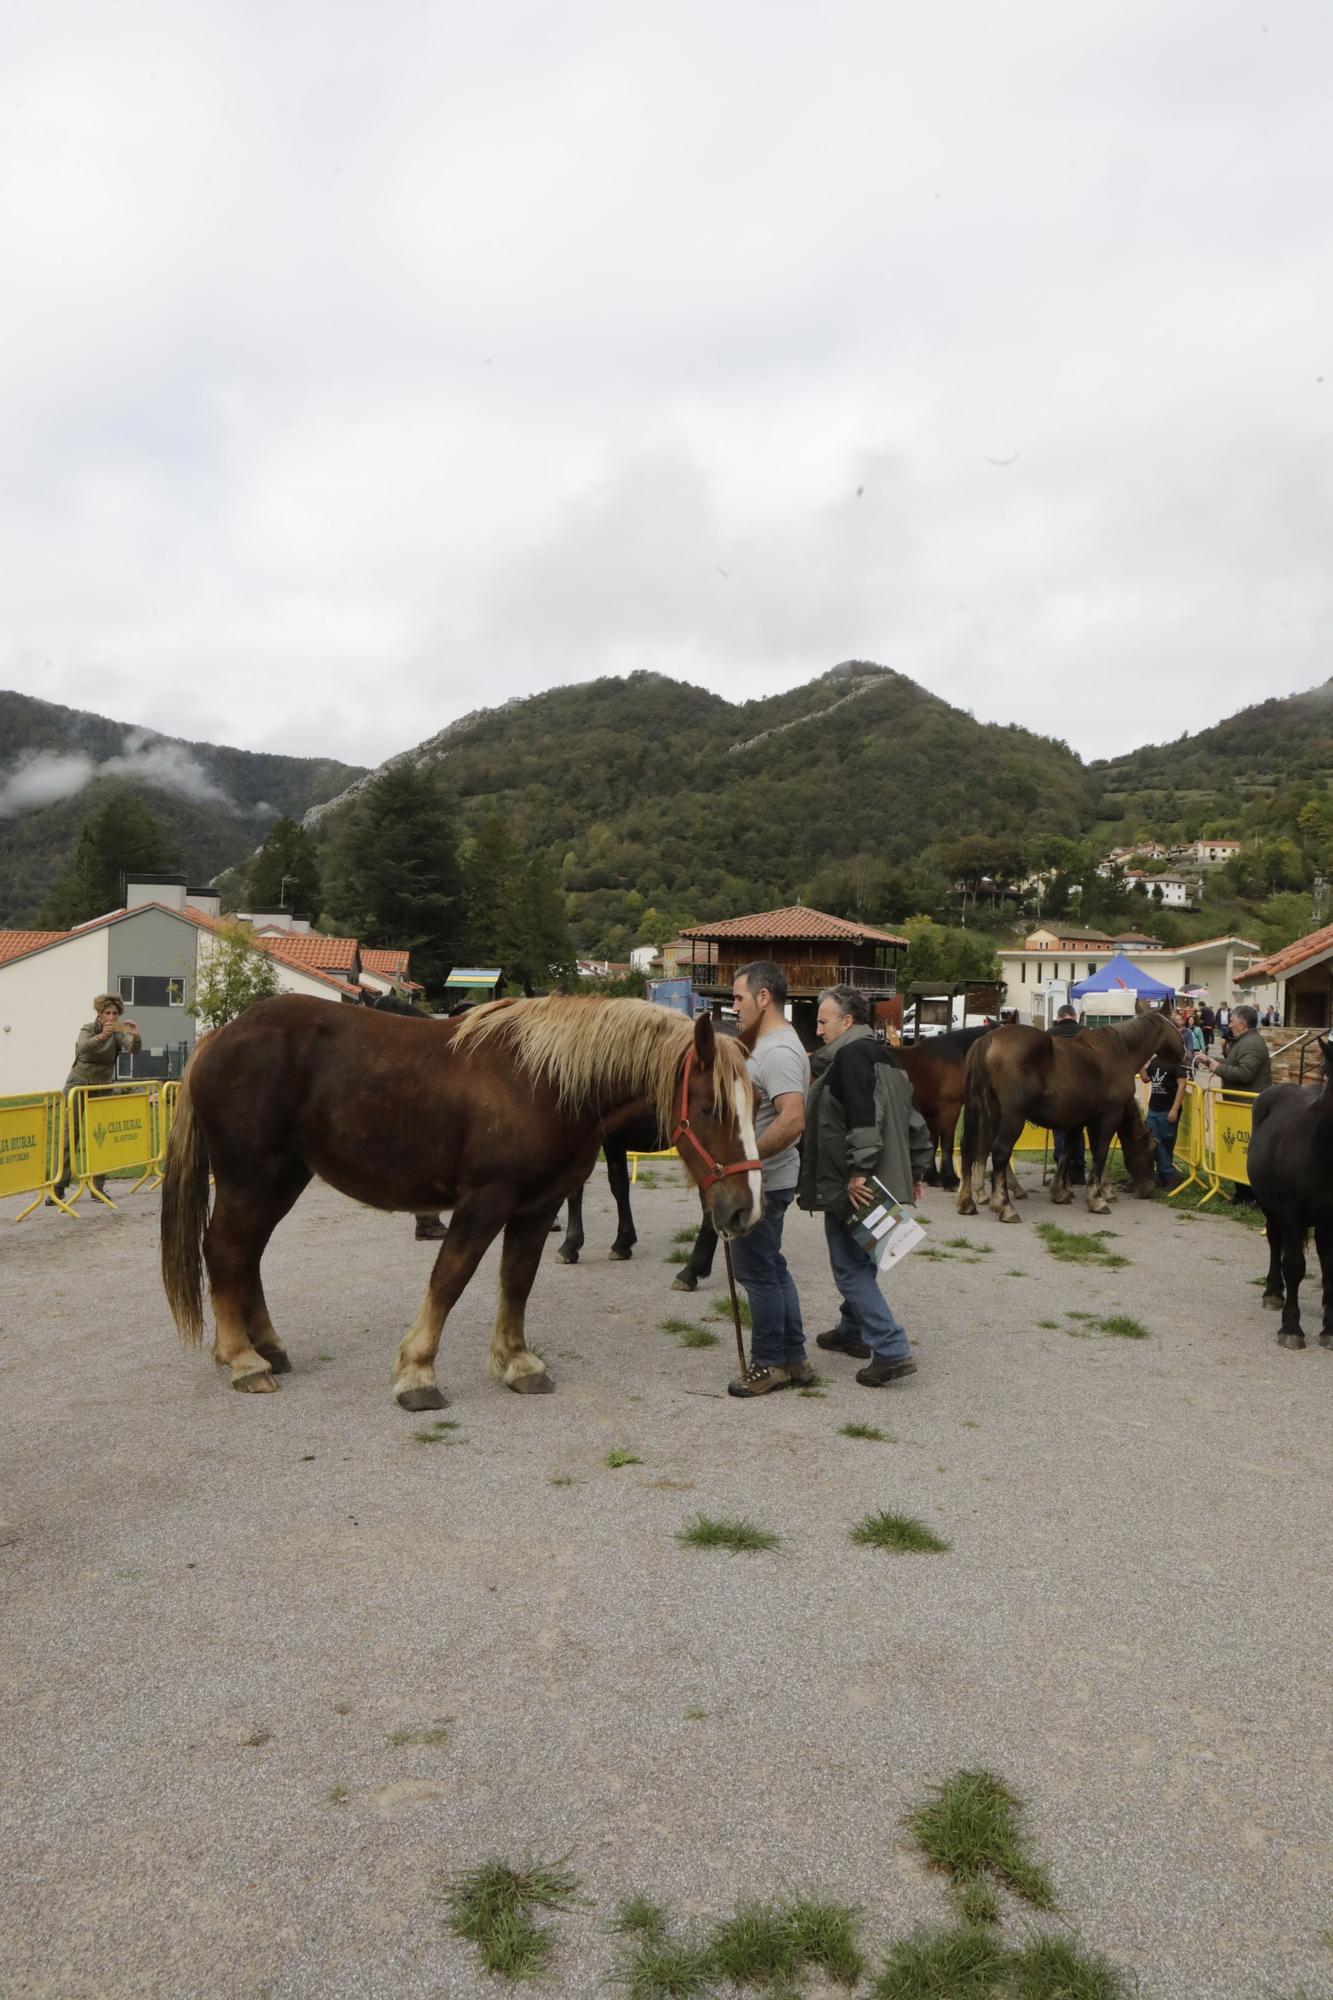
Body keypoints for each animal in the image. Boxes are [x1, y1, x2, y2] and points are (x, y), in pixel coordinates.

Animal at [160, 996, 752, 1408]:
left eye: (753, 1105)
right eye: (708, 1107)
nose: (743, 1209)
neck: (541, 1080)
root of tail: (217, 1039)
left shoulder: (537, 1207)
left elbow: (517, 1281)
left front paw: (517, 1364)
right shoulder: (484, 1201)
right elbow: (450, 1279)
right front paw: (416, 1374)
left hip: (283, 1177)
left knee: (247, 1255)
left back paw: (267, 1348)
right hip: (249, 1179)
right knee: (225, 1252)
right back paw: (243, 1361)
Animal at [948, 1016, 1176, 1216]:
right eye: (1150, 1150)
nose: (1148, 1189)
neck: (1117, 1054)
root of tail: (989, 1038)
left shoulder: (1077, 1121)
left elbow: (1068, 1151)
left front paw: (1061, 1191)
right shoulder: (1106, 1119)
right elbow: (1099, 1153)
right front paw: (1099, 1196)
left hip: (984, 1112)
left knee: (970, 1148)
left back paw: (969, 1201)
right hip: (1011, 1117)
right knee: (1000, 1151)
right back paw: (1004, 1205)